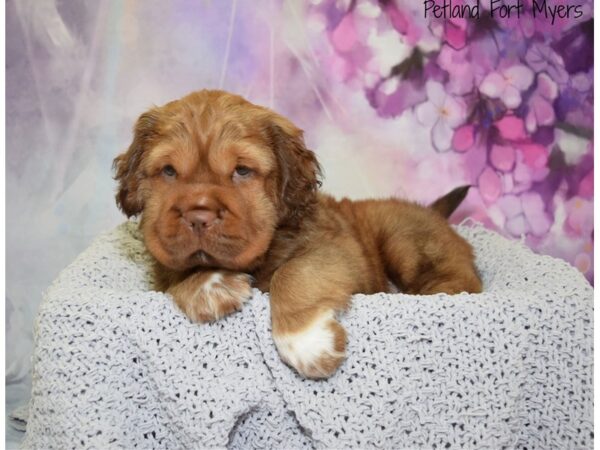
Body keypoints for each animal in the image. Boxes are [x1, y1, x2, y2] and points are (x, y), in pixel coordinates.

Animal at [113, 91, 482, 380]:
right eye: (169, 171)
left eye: (242, 171)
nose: (198, 216)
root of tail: (434, 211)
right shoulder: (161, 258)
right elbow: (173, 271)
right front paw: (208, 285)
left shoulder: (334, 249)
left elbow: (295, 273)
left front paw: (306, 341)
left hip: (403, 238)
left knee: (460, 281)